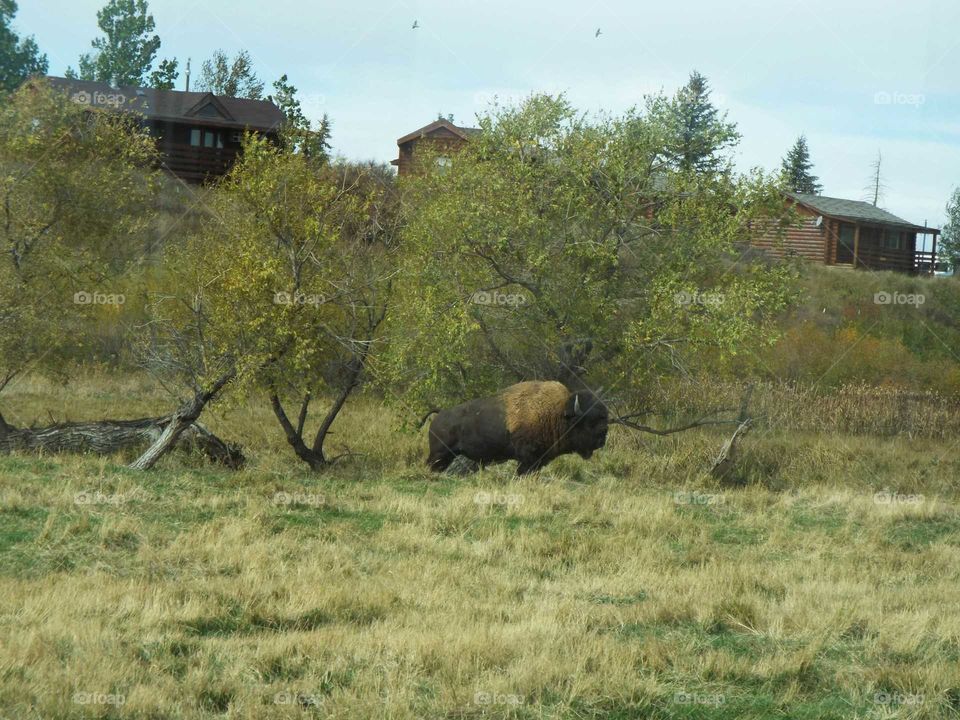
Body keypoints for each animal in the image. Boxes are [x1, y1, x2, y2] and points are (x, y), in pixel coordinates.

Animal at [423, 381, 608, 474]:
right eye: (588, 422)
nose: (602, 438)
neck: (558, 412)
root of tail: (440, 413)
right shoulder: (528, 457)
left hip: (447, 456)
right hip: (439, 453)